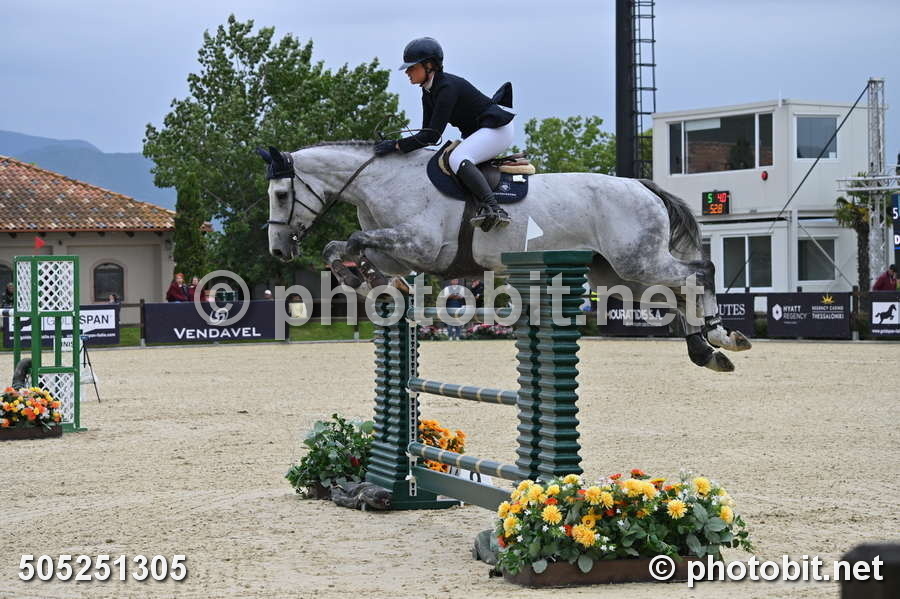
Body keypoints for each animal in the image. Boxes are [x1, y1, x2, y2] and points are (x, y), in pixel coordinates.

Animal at [258, 141, 751, 372]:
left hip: (636, 261)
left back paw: (721, 335)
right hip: (617, 275)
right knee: (674, 292)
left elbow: (356, 240)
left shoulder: (418, 245)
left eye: (281, 194)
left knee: (698, 272)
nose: (279, 249)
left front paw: (369, 281)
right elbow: (342, 248)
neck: (383, 181)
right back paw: (707, 351)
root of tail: (641, 185)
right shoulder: (401, 254)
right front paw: (372, 283)